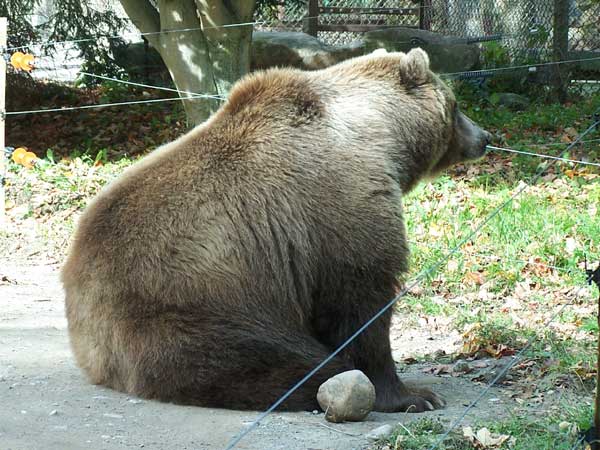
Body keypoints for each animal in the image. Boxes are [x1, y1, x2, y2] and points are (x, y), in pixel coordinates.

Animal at [63, 47, 490, 414]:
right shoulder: (342, 206)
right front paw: (414, 395)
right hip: (195, 299)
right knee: (254, 358)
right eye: (456, 106)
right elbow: (360, 303)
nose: (484, 137)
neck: (383, 136)